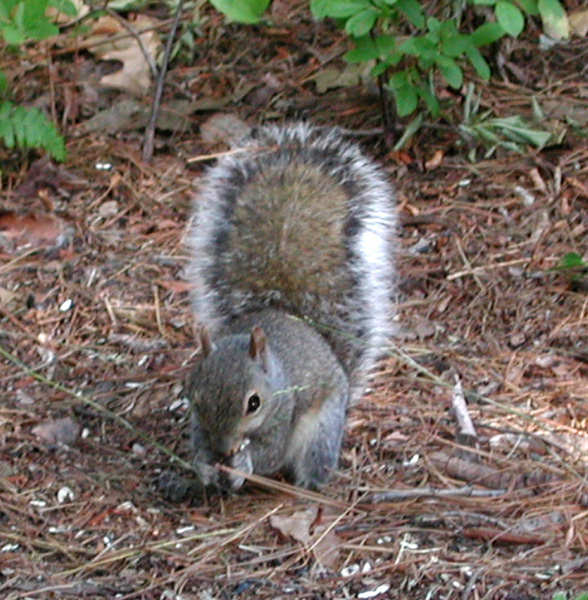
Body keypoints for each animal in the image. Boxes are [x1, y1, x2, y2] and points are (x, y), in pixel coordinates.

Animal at [184, 123, 396, 496]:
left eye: (254, 403)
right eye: (196, 397)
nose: (224, 448)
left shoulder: (285, 412)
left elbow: (270, 454)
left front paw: (242, 465)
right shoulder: (199, 424)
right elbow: (199, 444)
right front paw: (206, 467)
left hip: (322, 430)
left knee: (313, 461)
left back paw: (308, 487)